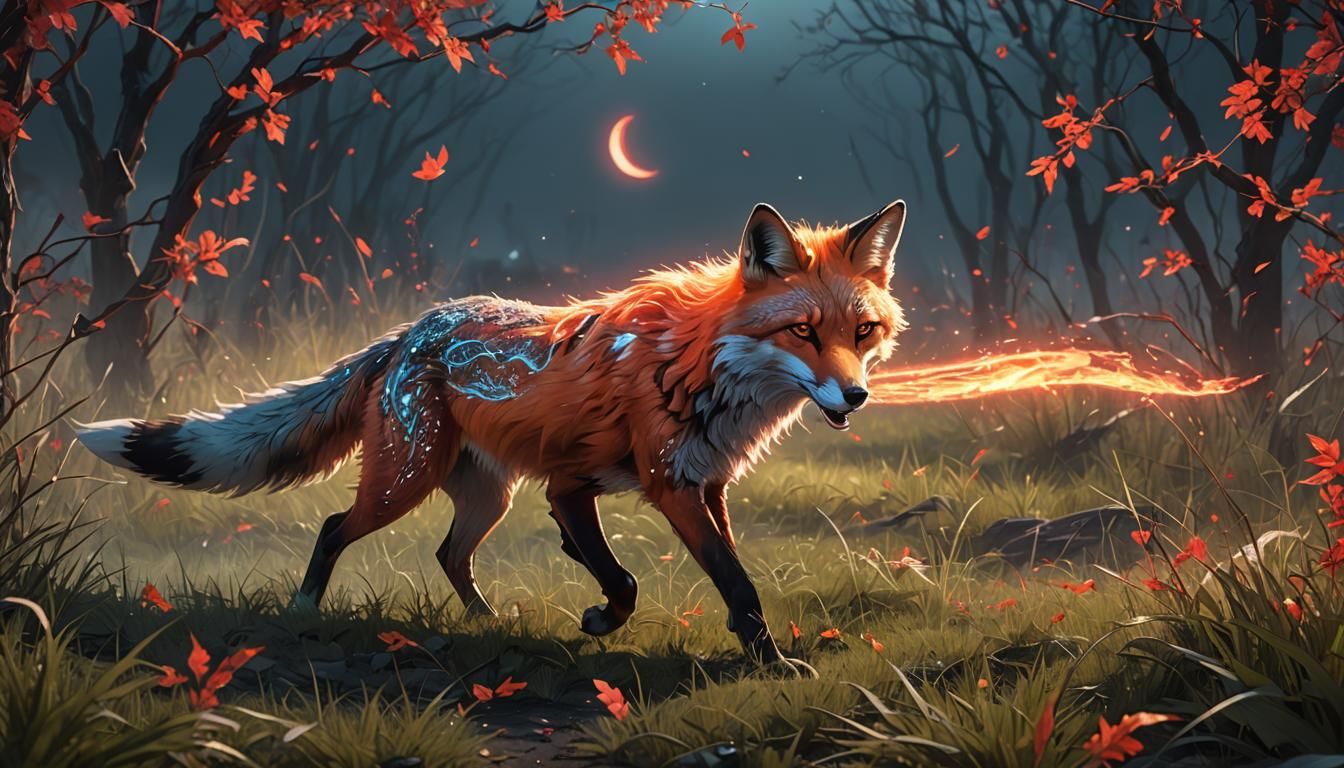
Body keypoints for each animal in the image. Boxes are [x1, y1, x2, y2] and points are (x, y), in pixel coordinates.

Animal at [77, 199, 909, 663]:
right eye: (802, 332)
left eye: (862, 331)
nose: (857, 394)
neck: (697, 362)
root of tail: (411, 330)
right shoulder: (600, 485)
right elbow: (641, 579)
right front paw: (610, 620)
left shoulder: (700, 487)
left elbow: (735, 582)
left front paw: (761, 653)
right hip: (403, 482)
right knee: (334, 525)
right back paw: (306, 608)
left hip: (489, 497)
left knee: (449, 554)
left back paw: (481, 622)